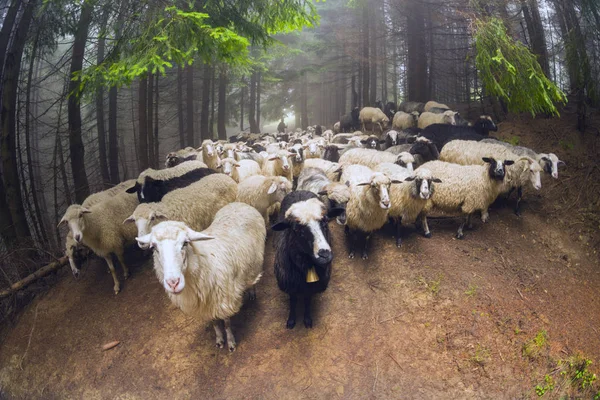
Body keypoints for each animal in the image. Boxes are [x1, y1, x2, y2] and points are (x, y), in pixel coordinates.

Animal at [270, 192, 342, 330]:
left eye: (325, 222)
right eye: (296, 229)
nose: (325, 255)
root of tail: (300, 190)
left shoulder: (311, 287)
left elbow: (307, 300)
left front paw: (307, 319)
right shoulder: (291, 285)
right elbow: (293, 302)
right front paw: (291, 320)